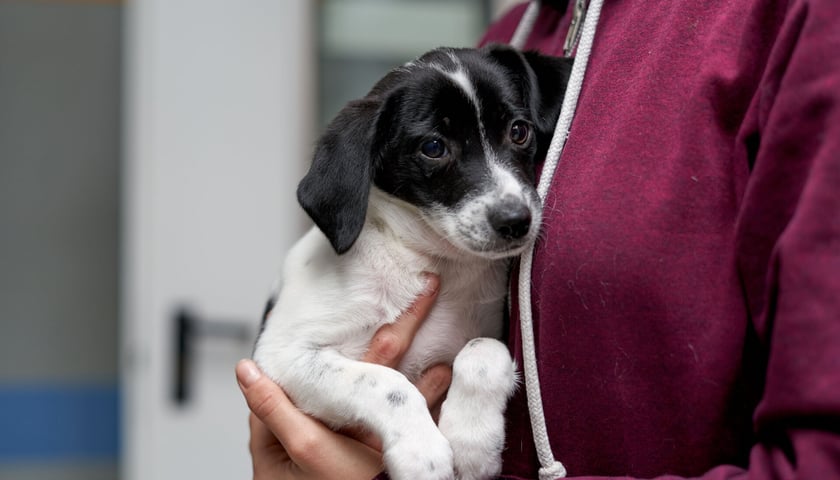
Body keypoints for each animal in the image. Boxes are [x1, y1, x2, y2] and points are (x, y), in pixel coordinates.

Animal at [254, 45, 572, 480]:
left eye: (519, 131)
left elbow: (483, 350)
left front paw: (472, 441)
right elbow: (384, 382)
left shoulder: (491, 330)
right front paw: (423, 453)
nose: (515, 221)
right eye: (433, 147)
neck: (429, 260)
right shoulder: (283, 353)